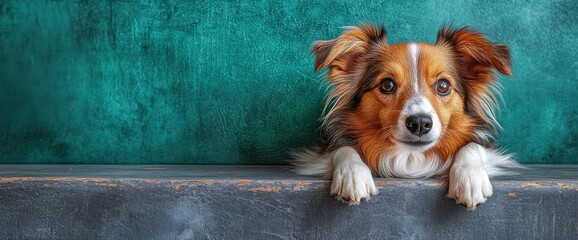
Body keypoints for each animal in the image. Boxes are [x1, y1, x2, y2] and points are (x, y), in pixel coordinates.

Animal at [292, 23, 516, 210]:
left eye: (443, 85)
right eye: (387, 84)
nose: (420, 123)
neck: (410, 157)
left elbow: (471, 146)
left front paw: (470, 177)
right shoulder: (319, 153)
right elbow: (343, 148)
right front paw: (353, 175)